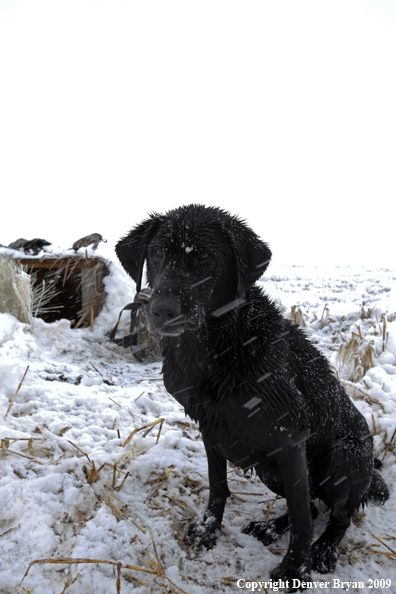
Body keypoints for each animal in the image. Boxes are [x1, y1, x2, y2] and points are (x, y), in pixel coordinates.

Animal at [116, 202, 388, 584]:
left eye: (204, 255)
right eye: (156, 253)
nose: (162, 310)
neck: (214, 347)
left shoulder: (289, 437)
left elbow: (302, 518)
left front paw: (295, 569)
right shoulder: (210, 427)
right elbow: (219, 488)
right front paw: (208, 531)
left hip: (343, 457)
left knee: (335, 515)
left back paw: (322, 550)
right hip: (267, 468)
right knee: (310, 504)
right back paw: (270, 528)